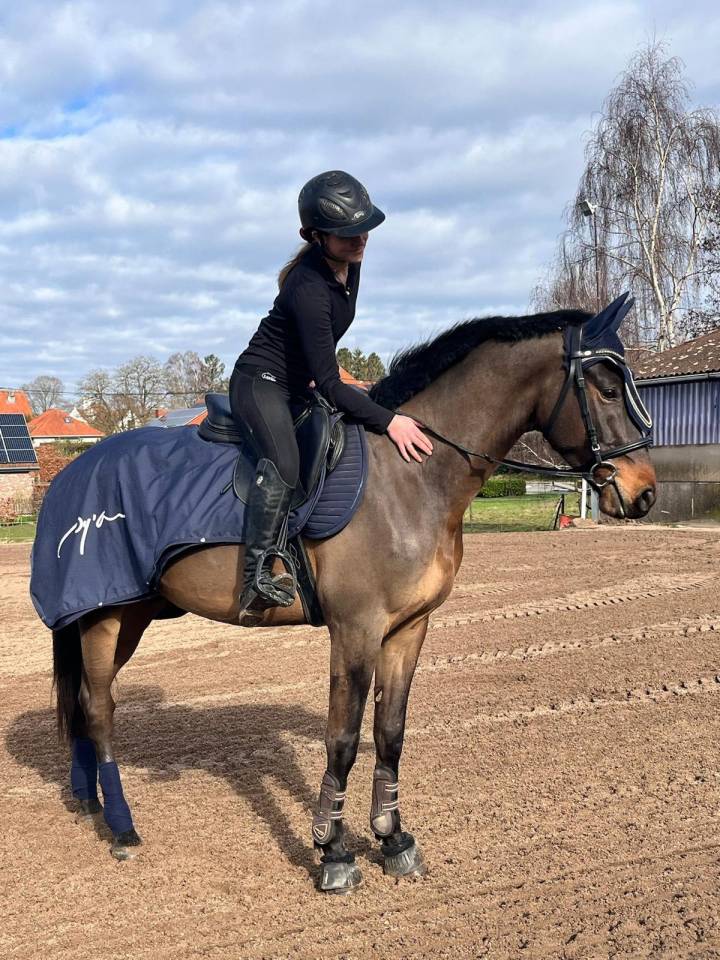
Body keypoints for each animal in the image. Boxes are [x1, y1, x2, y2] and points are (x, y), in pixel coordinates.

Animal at [47, 296, 656, 893]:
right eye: (606, 389)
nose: (643, 493)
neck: (412, 476)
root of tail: (71, 473)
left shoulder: (408, 629)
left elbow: (389, 732)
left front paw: (393, 839)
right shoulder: (356, 629)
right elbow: (341, 738)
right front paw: (333, 852)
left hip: (131, 615)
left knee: (86, 703)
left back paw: (89, 802)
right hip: (104, 617)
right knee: (98, 707)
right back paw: (122, 828)